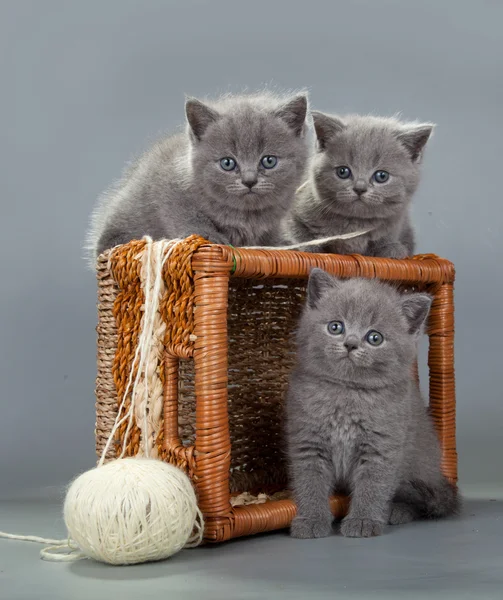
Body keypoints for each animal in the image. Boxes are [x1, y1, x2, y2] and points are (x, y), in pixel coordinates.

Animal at [84, 91, 310, 264]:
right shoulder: (167, 184)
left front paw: (286, 244)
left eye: (269, 161)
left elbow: (270, 236)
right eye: (227, 163)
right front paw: (211, 236)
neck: (246, 216)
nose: (249, 181)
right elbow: (184, 213)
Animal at [284, 115, 438, 258]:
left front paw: (393, 250)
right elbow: (296, 232)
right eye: (343, 171)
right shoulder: (292, 210)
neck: (355, 224)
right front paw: (308, 248)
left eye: (382, 176)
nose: (359, 188)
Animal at [286, 270, 458, 540]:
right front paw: (311, 519)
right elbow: (310, 482)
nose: (350, 343)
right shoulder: (307, 441)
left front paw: (363, 520)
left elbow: (373, 485)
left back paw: (396, 511)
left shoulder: (382, 446)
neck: (347, 392)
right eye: (335, 327)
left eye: (374, 338)